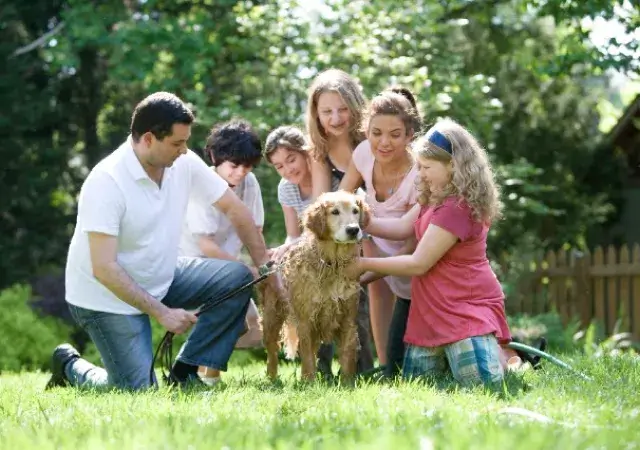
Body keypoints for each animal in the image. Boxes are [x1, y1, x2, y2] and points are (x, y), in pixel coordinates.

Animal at [260, 190, 370, 384]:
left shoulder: (348, 319)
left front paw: (347, 383)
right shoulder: (306, 320)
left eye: (355, 211)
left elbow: (347, 355)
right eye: (335, 212)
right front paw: (309, 383)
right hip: (272, 317)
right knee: (272, 352)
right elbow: (307, 358)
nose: (353, 230)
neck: (331, 264)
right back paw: (272, 380)